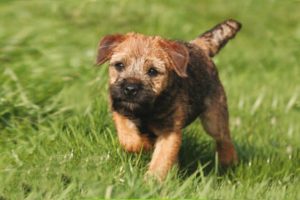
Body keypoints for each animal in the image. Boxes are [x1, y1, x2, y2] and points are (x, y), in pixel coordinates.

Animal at [97, 19, 243, 181]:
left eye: (153, 71)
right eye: (119, 65)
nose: (130, 89)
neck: (148, 110)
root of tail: (198, 46)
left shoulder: (169, 132)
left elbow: (162, 159)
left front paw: (151, 181)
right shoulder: (120, 108)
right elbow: (127, 137)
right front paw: (143, 144)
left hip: (214, 118)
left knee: (224, 138)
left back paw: (228, 162)